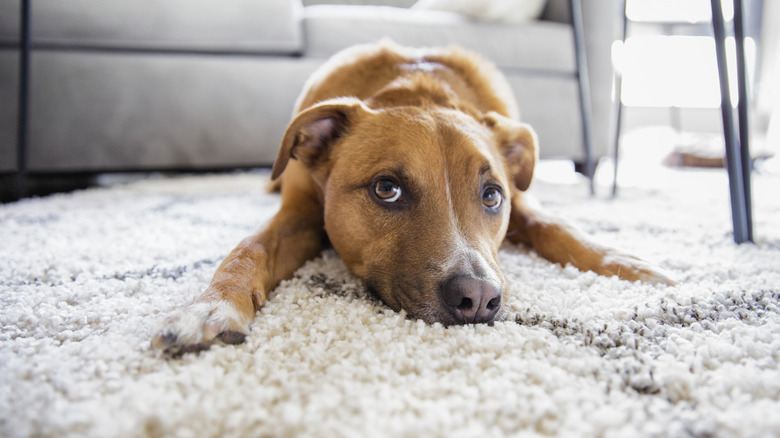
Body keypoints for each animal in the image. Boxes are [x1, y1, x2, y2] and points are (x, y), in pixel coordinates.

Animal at [151, 41, 672, 356]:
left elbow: (557, 225)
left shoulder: (524, 203)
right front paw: (211, 307)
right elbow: (248, 248)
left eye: (492, 196)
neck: (419, 92)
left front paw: (624, 262)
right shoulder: (299, 212)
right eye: (387, 189)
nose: (478, 299)